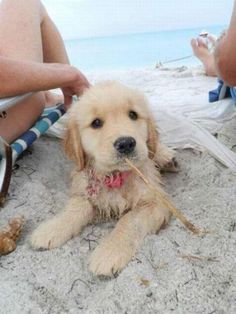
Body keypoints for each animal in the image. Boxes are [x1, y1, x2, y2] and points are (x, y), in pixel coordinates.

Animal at [30, 81, 175, 278]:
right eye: (96, 123)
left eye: (133, 115)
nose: (126, 143)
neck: (115, 176)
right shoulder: (85, 188)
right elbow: (76, 208)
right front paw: (51, 229)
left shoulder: (155, 201)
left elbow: (129, 221)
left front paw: (108, 253)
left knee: (154, 148)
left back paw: (167, 157)